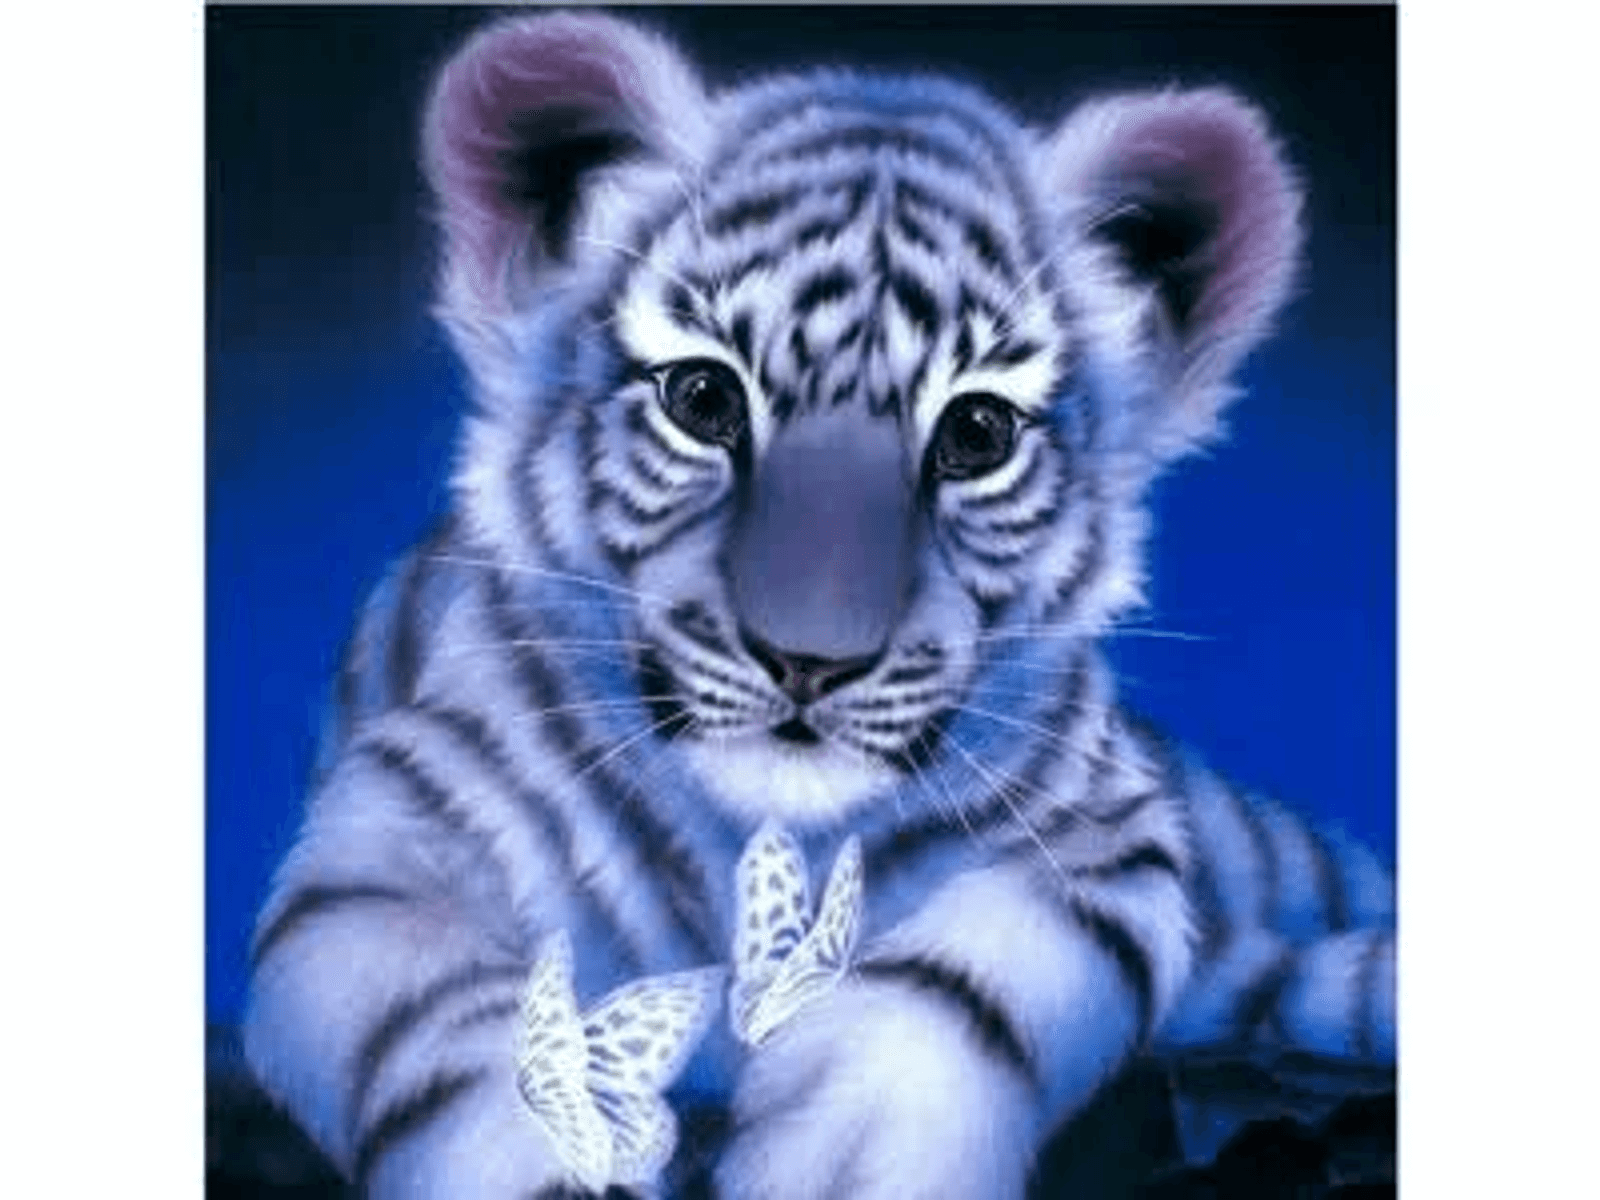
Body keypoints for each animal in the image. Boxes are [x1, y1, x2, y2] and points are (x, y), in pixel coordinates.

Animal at [243, 11, 1396, 1199]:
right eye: (702, 398)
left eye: (976, 431)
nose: (810, 661)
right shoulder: (378, 849)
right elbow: (466, 1027)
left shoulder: (1111, 833)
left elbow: (974, 977)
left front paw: (847, 1156)